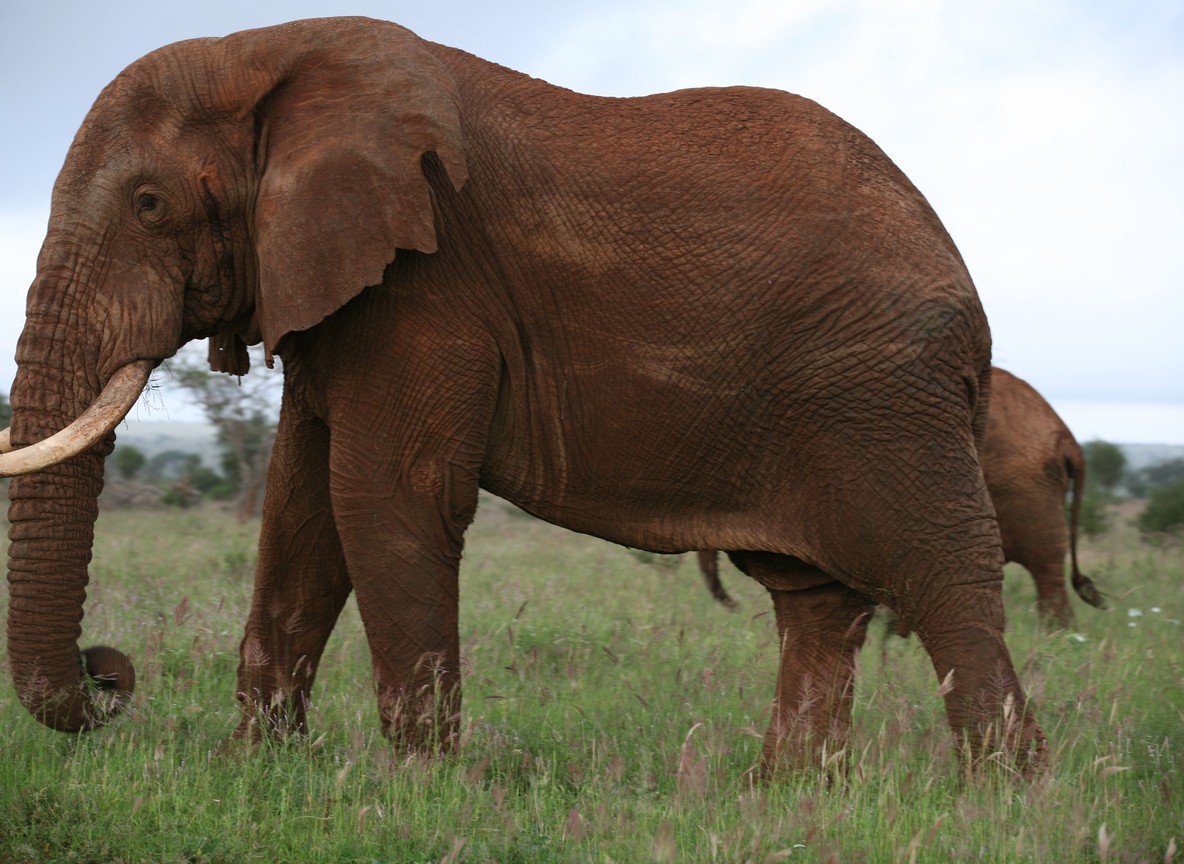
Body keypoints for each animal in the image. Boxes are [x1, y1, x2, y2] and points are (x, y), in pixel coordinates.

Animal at [0, 17, 1045, 773]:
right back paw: (787, 799)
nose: (109, 674)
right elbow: (301, 513)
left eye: (149, 206)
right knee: (816, 602)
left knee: (942, 579)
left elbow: (381, 500)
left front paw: (417, 792)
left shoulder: (428, 282)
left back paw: (1000, 798)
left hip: (889, 399)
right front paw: (253, 772)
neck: (266, 53)